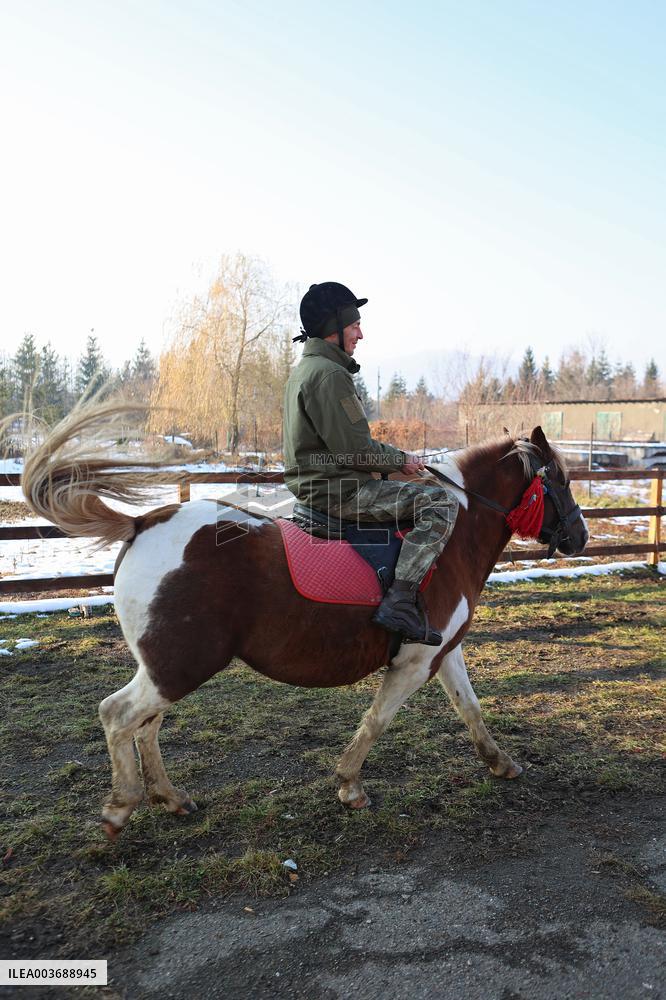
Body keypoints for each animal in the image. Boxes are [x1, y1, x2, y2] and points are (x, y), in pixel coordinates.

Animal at [20, 401, 588, 838]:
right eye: (560, 480)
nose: (580, 537)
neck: (450, 541)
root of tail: (144, 522)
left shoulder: (442, 653)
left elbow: (469, 708)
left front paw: (500, 763)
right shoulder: (412, 665)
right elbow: (376, 721)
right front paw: (350, 785)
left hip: (164, 666)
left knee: (145, 725)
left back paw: (171, 798)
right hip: (179, 666)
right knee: (118, 715)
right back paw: (120, 807)